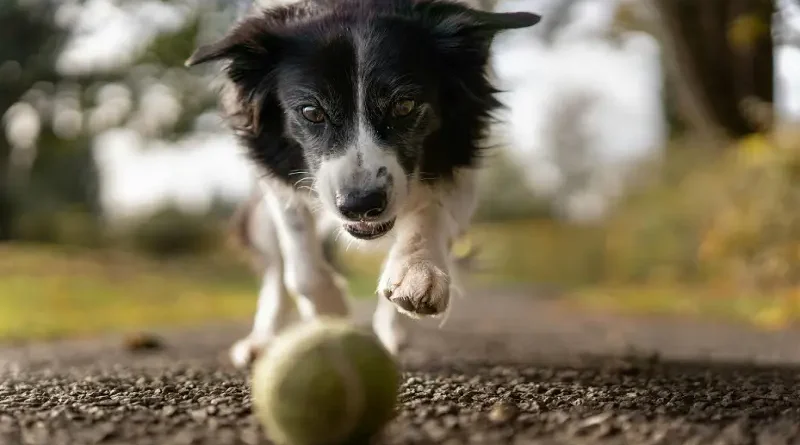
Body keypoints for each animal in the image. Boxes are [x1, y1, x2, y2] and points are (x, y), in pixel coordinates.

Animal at [184, 0, 540, 368]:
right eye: (311, 112)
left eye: (404, 105)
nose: (361, 205)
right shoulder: (277, 177)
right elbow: (301, 264)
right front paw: (332, 312)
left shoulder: (461, 153)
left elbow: (430, 212)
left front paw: (418, 271)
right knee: (276, 269)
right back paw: (262, 341)